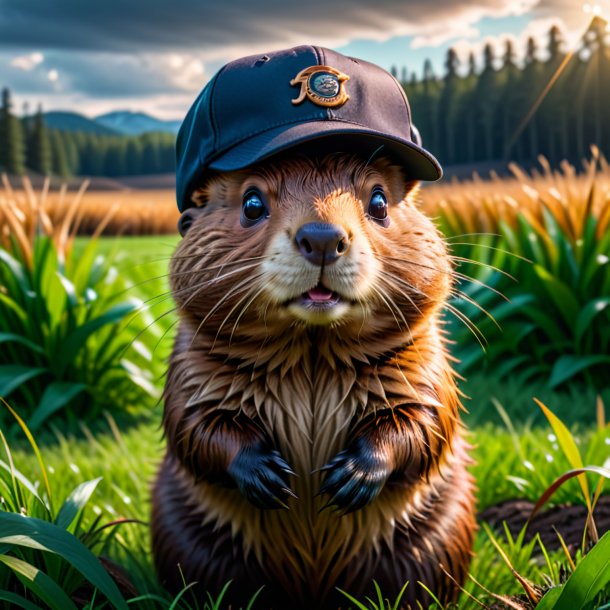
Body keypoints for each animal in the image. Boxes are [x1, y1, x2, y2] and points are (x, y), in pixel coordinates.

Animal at [151, 45, 476, 604]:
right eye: (252, 201)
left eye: (379, 201)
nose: (323, 237)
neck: (311, 355)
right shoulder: (195, 364)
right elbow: (195, 424)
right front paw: (270, 477)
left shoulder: (421, 359)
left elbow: (425, 418)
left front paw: (349, 477)